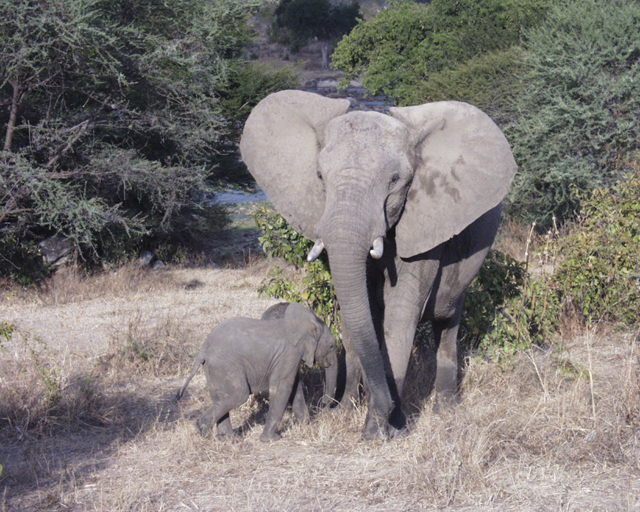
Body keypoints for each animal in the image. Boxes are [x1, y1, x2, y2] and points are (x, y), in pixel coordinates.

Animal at [172, 304, 338, 440]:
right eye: (331, 346)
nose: (324, 403)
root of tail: (203, 350)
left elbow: (295, 389)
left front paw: (307, 426)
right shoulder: (289, 354)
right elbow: (282, 388)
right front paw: (271, 439)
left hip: (213, 368)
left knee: (219, 398)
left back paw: (229, 439)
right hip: (226, 365)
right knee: (238, 396)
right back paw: (203, 431)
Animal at [239, 90, 516, 438]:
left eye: (395, 180)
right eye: (319, 176)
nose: (325, 406)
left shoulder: (425, 223)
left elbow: (398, 316)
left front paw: (379, 431)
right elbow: (357, 313)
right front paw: (348, 414)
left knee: (447, 318)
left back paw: (446, 411)